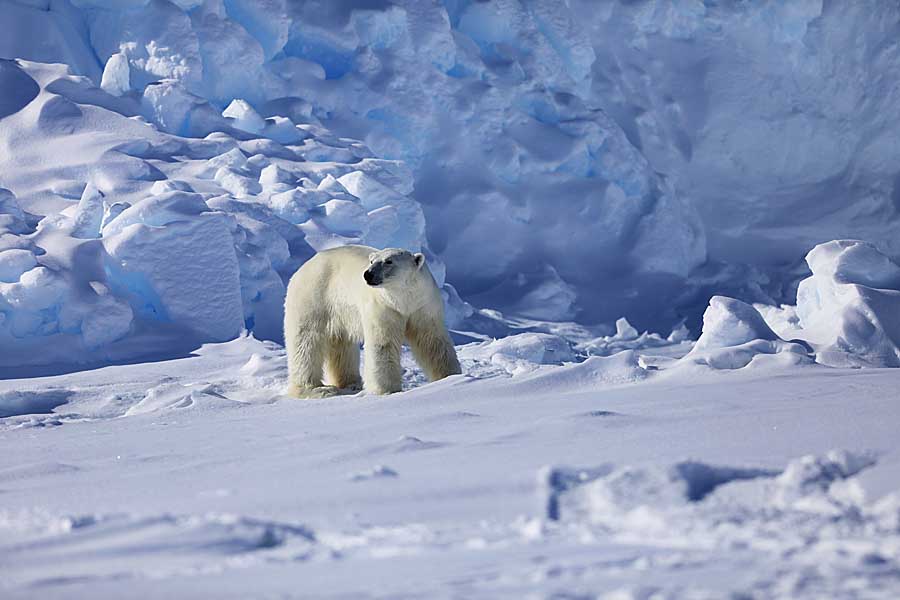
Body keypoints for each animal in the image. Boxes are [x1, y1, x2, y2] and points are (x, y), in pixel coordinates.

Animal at [284, 245, 464, 398]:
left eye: (389, 261)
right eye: (372, 261)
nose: (367, 274)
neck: (403, 299)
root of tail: (304, 266)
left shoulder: (423, 305)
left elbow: (432, 341)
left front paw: (449, 376)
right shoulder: (384, 306)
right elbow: (384, 343)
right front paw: (387, 390)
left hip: (338, 313)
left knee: (341, 344)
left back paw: (352, 383)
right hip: (313, 298)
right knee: (306, 342)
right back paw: (316, 389)